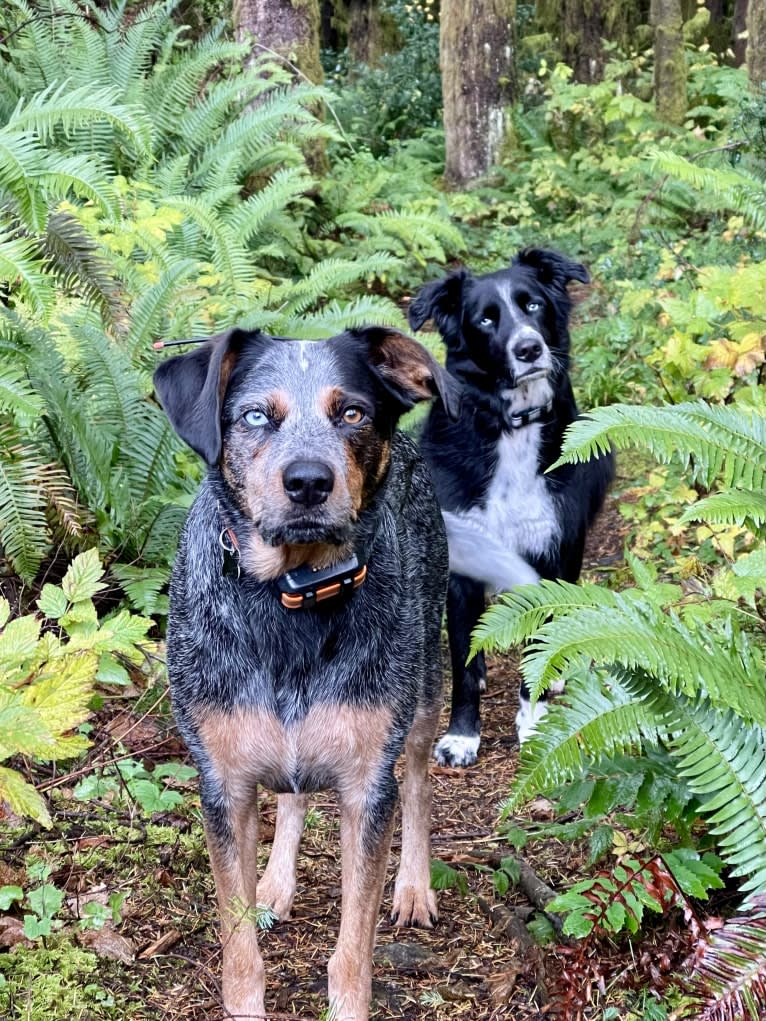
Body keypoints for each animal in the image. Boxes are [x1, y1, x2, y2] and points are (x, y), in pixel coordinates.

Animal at [153, 326, 459, 1021]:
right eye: (255, 416)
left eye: (353, 414)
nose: (309, 481)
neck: (292, 599)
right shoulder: (223, 787)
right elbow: (238, 948)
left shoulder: (367, 787)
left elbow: (352, 950)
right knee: (291, 796)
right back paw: (275, 883)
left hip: (427, 688)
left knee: (419, 782)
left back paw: (414, 887)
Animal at [410, 247, 616, 767]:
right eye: (486, 319)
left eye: (534, 305)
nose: (528, 349)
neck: (512, 426)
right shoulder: (462, 563)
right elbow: (463, 663)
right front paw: (462, 736)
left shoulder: (552, 553)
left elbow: (536, 648)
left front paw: (534, 719)